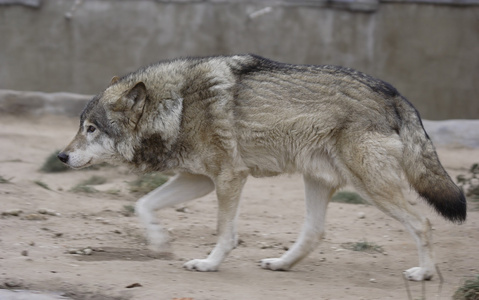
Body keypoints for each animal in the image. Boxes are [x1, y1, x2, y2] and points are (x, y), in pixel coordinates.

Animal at [58, 54, 466, 282]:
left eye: (91, 129)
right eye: (80, 126)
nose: (61, 157)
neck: (176, 106)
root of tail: (395, 94)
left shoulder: (229, 178)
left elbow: (225, 233)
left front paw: (209, 264)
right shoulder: (199, 179)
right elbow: (143, 204)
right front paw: (158, 241)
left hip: (371, 186)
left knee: (423, 223)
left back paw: (425, 273)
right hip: (317, 181)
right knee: (314, 232)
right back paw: (281, 264)